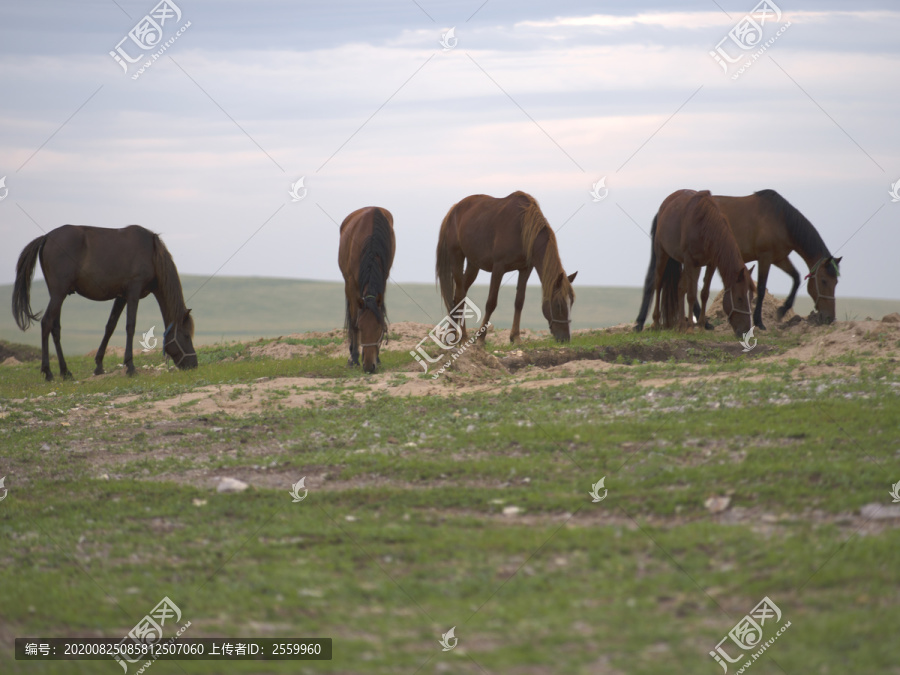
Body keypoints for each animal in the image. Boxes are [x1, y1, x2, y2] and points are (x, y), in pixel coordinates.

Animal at [11, 223, 197, 378]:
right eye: (186, 336)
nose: (194, 364)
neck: (151, 253)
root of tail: (46, 237)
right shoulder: (133, 292)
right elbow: (130, 326)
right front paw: (130, 367)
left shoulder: (121, 297)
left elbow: (110, 327)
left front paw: (99, 366)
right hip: (58, 294)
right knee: (46, 323)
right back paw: (48, 372)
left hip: (57, 295)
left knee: (55, 328)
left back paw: (65, 372)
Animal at [338, 206, 394, 374]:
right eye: (361, 328)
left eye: (380, 328)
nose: (369, 366)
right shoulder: (351, 284)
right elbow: (353, 320)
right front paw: (354, 359)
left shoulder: (384, 279)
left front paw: (378, 358)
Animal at [436, 191, 576, 344]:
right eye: (558, 305)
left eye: (572, 303)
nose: (565, 339)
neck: (521, 228)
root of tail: (454, 210)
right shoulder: (498, 268)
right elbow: (491, 303)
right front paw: (481, 338)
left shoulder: (525, 269)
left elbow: (519, 301)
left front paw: (515, 337)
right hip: (457, 258)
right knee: (460, 294)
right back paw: (462, 336)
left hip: (473, 265)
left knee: (458, 296)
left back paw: (453, 333)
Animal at [632, 190, 760, 338]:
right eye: (739, 298)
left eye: (751, 298)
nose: (746, 332)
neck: (705, 226)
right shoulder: (690, 262)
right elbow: (691, 295)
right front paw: (690, 329)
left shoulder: (711, 264)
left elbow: (704, 293)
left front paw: (700, 326)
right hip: (662, 254)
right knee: (658, 284)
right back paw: (657, 323)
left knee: (680, 287)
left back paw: (681, 324)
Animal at [692, 190, 840, 330]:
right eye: (824, 281)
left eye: (836, 282)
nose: (830, 318)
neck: (781, 220)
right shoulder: (765, 258)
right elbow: (761, 289)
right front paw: (759, 322)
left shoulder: (779, 259)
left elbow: (796, 278)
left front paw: (782, 310)